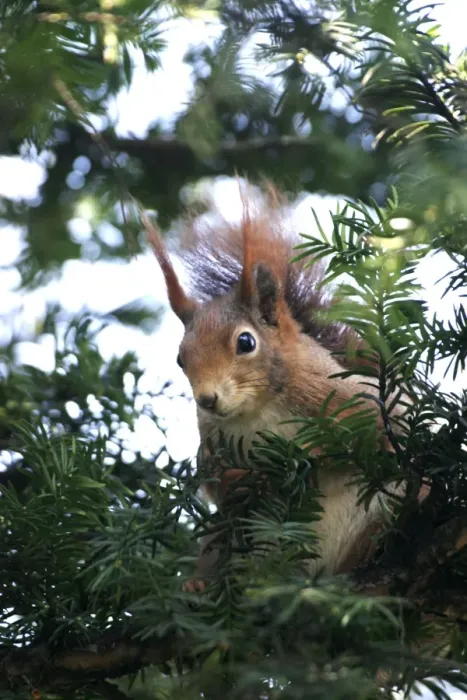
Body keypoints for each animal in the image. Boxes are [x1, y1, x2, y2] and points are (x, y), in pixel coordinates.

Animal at [144, 180, 410, 586]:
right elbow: (214, 483)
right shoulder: (212, 441)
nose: (207, 399)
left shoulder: (343, 396)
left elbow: (390, 430)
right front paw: (243, 475)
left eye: (245, 342)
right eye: (180, 359)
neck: (257, 412)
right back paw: (200, 584)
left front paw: (304, 453)